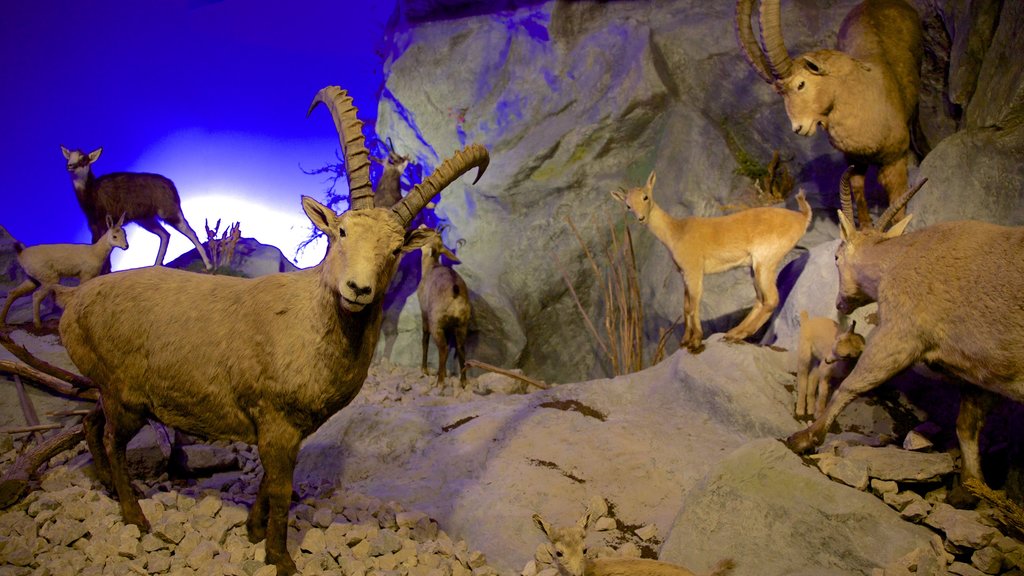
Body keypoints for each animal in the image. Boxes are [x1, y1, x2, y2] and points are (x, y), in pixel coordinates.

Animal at [415, 224, 471, 385]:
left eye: (428, 234)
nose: (421, 225)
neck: (430, 267)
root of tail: (455, 291)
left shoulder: (424, 313)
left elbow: (425, 338)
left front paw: (425, 370)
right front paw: (445, 373)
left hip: (437, 324)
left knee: (444, 348)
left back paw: (439, 381)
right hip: (461, 325)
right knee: (460, 348)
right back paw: (463, 382)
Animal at [610, 168, 811, 352]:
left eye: (645, 197)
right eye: (628, 205)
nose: (641, 218)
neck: (677, 232)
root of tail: (802, 218)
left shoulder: (695, 271)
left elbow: (694, 304)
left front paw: (695, 340)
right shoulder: (684, 273)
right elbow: (685, 306)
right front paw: (685, 340)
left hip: (765, 261)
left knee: (771, 299)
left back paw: (737, 335)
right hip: (755, 268)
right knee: (761, 299)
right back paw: (732, 333)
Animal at [782, 168, 1024, 504]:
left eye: (837, 257)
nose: (840, 303)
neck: (896, 260)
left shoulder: (899, 334)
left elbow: (852, 384)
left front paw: (804, 438)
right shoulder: (983, 374)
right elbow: (967, 425)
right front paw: (969, 488)